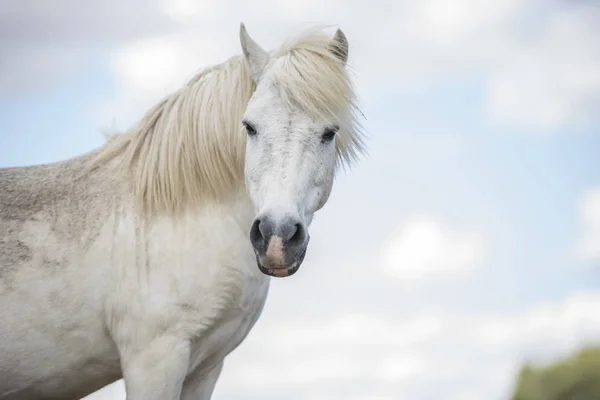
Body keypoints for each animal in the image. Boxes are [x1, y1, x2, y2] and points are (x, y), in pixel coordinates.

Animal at [0, 23, 366, 398]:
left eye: (329, 133)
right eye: (249, 126)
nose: (276, 237)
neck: (174, 217)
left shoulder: (204, 369)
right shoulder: (154, 361)